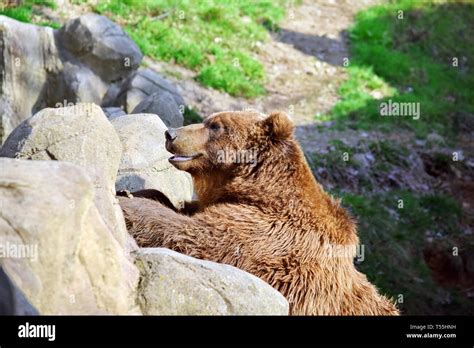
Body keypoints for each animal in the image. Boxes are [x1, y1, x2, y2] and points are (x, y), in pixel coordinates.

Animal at [117, 111, 396, 316]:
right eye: (208, 120)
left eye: (216, 126)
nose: (170, 133)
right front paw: (135, 192)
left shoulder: (271, 233)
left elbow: (193, 234)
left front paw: (126, 201)